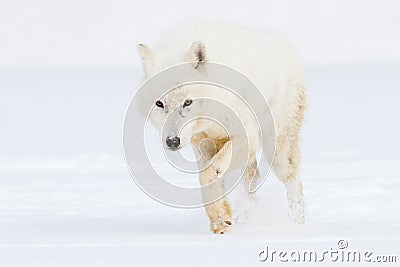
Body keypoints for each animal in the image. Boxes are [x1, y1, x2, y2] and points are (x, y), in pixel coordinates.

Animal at [138, 21, 306, 234]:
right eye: (159, 104)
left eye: (187, 102)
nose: (172, 141)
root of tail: (286, 44)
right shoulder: (202, 144)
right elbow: (207, 183)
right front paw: (220, 221)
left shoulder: (245, 136)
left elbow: (208, 175)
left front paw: (220, 217)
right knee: (252, 179)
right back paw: (247, 219)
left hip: (278, 151)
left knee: (293, 181)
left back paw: (297, 226)